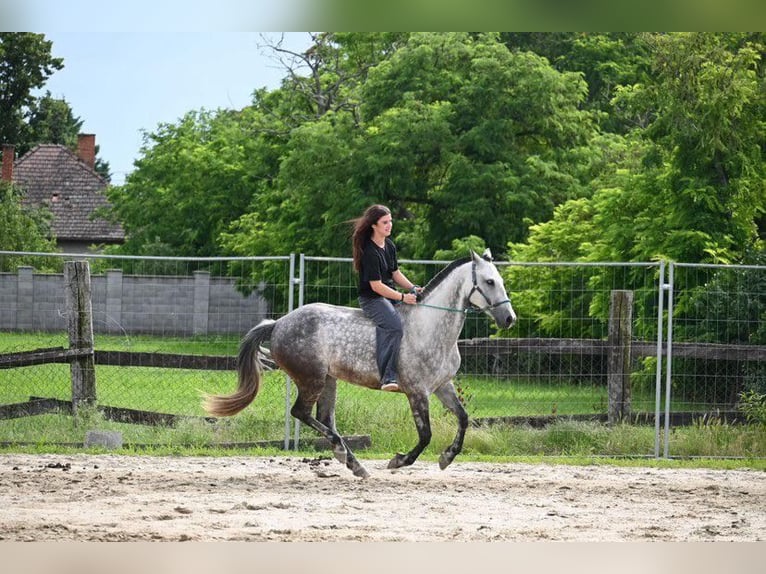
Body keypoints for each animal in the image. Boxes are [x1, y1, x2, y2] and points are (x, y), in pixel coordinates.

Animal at [202, 250, 516, 480]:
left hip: (328, 381)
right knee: (302, 413)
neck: (430, 326)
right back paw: (346, 456)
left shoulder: (441, 386)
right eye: (489, 282)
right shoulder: (417, 392)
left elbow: (463, 418)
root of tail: (279, 323)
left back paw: (351, 460)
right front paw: (398, 461)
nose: (509, 319)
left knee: (323, 417)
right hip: (311, 379)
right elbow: (425, 435)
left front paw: (447, 457)